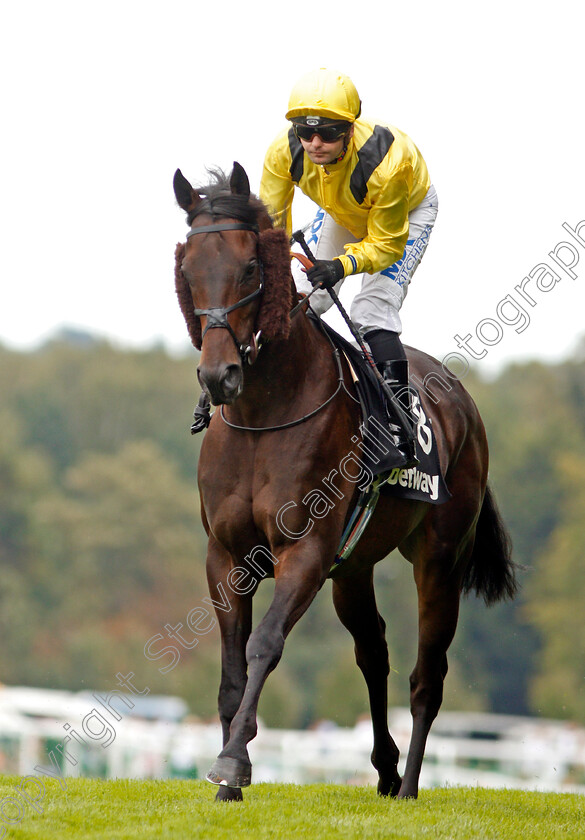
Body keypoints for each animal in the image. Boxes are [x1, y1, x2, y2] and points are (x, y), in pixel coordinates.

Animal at [173, 162, 516, 800]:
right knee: (373, 651)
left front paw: (233, 763)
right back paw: (384, 768)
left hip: (440, 559)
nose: (219, 375)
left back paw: (408, 785)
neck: (265, 412)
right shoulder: (226, 556)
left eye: (251, 266)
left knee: (427, 674)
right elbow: (231, 668)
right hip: (353, 568)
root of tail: (464, 402)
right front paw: (229, 775)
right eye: (187, 270)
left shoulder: (305, 550)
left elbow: (264, 645)